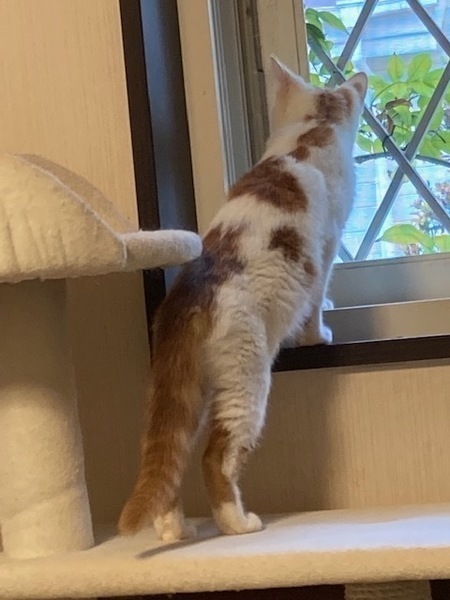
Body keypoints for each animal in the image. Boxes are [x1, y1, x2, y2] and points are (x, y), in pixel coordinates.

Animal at [118, 57, 368, 541]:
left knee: (168, 454)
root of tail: (190, 288)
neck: (313, 129)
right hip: (245, 380)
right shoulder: (328, 246)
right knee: (215, 457)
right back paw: (238, 524)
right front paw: (318, 334)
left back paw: (174, 530)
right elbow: (317, 297)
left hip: (182, 391)